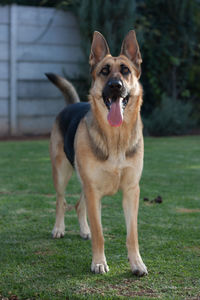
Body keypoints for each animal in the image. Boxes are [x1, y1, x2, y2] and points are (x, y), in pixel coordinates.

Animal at [46, 30, 148, 276]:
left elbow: (132, 234)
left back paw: (84, 230)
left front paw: (136, 263)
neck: (116, 138)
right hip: (61, 174)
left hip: (84, 183)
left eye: (125, 70)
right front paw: (99, 262)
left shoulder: (131, 191)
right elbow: (100, 233)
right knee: (61, 201)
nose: (115, 86)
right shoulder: (94, 191)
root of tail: (72, 104)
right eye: (104, 71)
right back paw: (59, 228)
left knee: (78, 205)